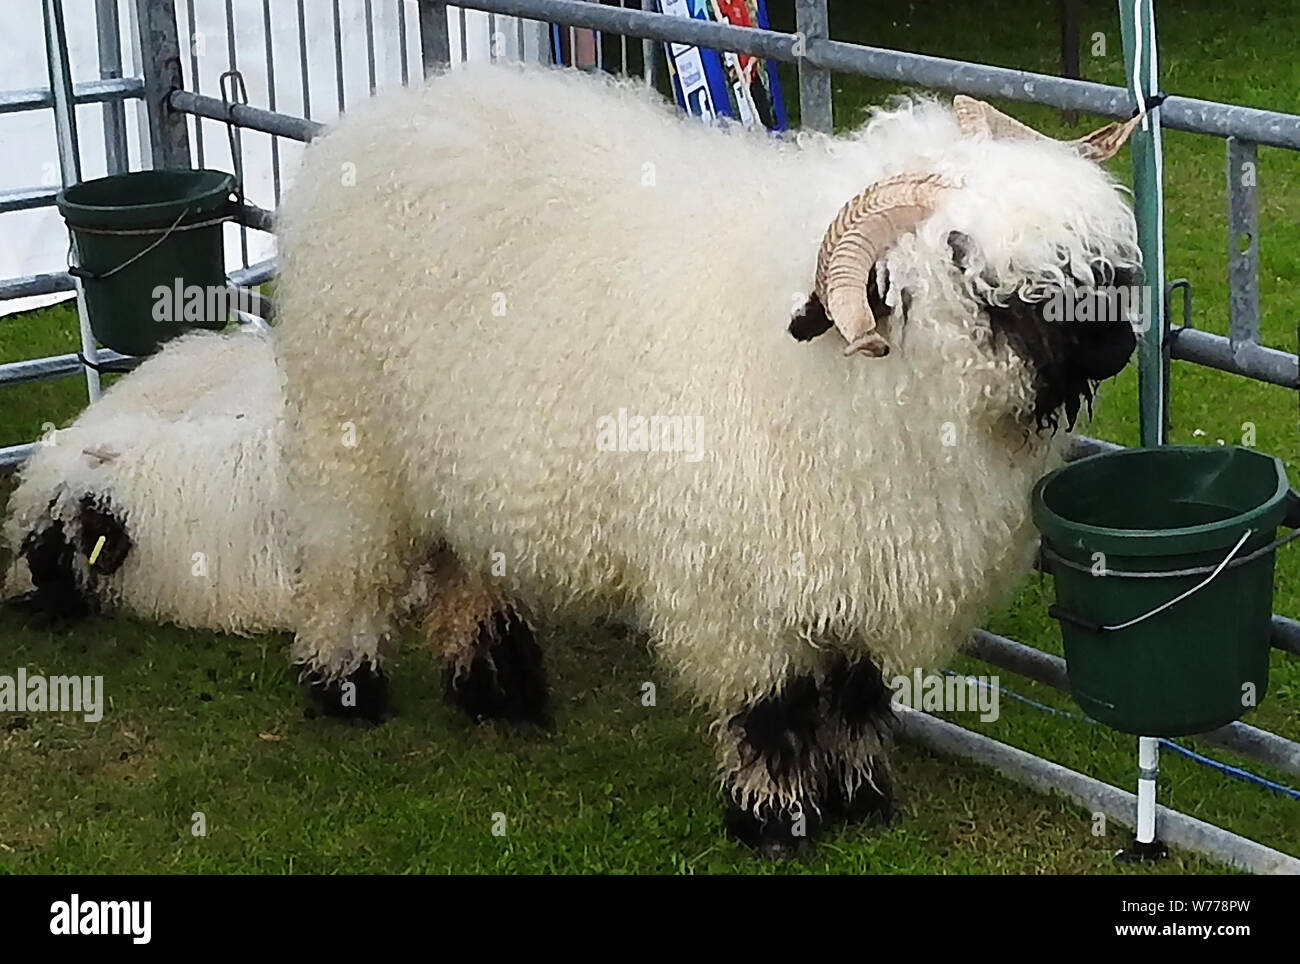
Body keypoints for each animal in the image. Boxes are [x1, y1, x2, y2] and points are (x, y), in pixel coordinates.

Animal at [271, 65, 1138, 852]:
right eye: (960, 253)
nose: (1116, 343)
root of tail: (390, 108)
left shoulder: (858, 571)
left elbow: (856, 695)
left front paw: (862, 800)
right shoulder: (734, 591)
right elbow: (773, 709)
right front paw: (775, 821)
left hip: (456, 457)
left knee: (467, 567)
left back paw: (496, 690)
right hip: (350, 438)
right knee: (346, 571)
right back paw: (346, 688)